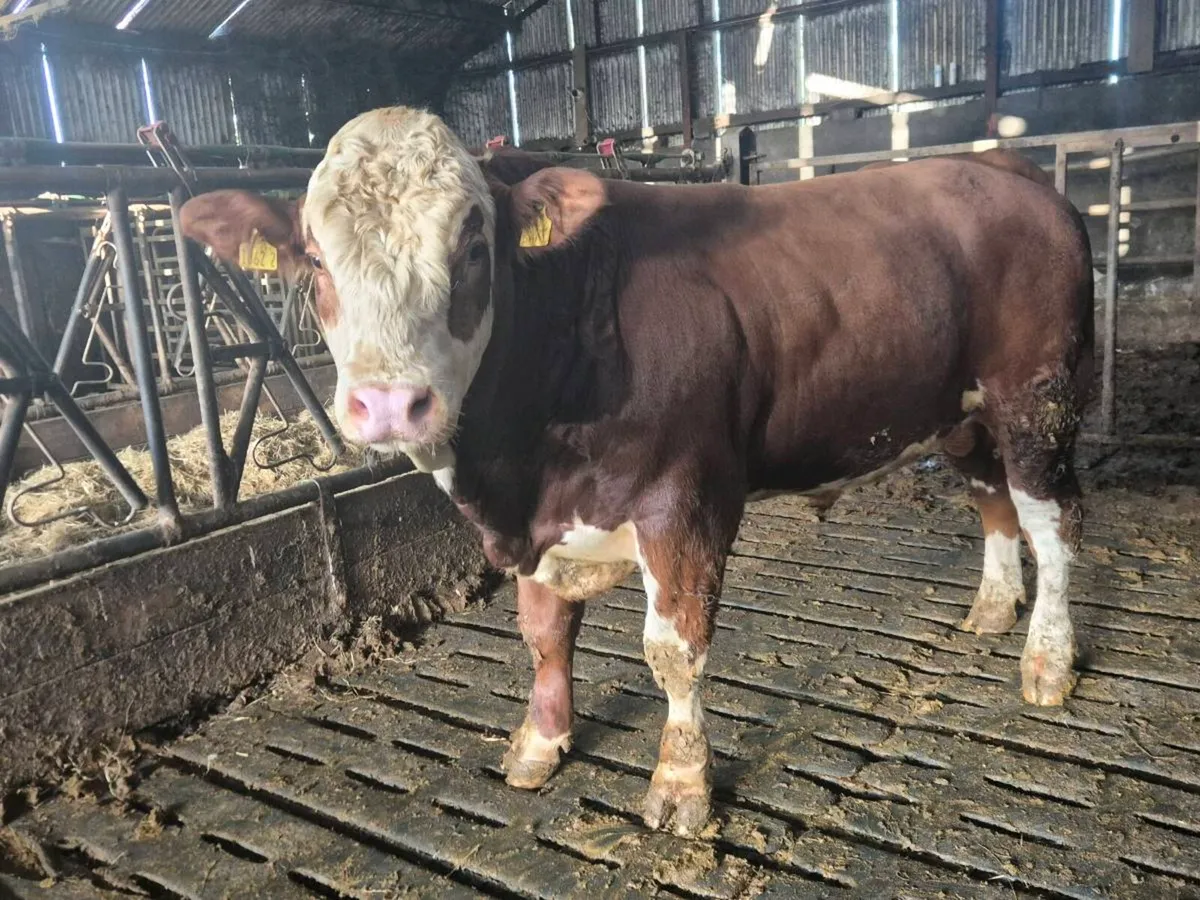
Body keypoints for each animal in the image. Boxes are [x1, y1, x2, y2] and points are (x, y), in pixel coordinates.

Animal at [180, 107, 1094, 837]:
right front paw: (540, 743)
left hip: (1037, 399)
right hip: (964, 410)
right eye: (315, 259)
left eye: (473, 247)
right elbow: (543, 631)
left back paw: (1047, 660)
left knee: (1053, 522)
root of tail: (1002, 167)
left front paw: (682, 785)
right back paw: (991, 609)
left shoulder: (684, 499)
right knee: (991, 498)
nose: (388, 404)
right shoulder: (541, 520)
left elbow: (673, 651)